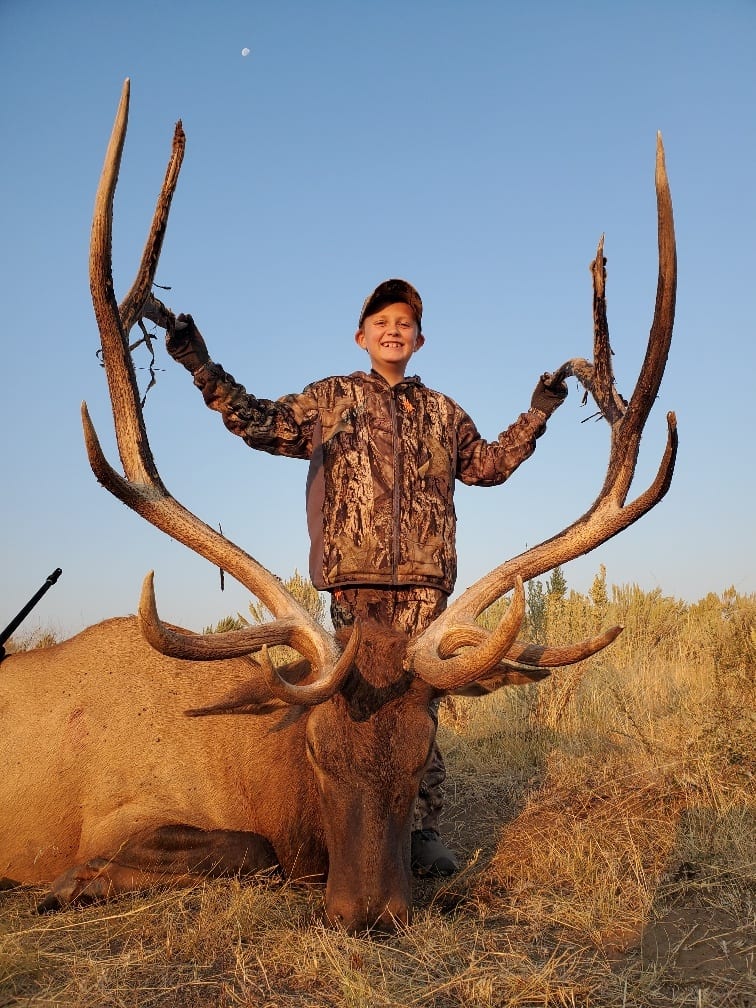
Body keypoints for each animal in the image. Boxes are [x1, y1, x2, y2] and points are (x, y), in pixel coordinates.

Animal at [0, 79, 676, 932]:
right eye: (318, 752)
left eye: (420, 758)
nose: (369, 912)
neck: (257, 768)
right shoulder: (116, 813)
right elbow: (245, 849)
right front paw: (69, 884)